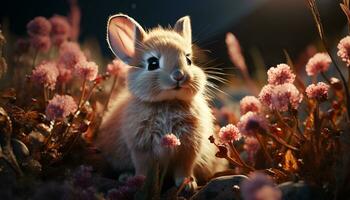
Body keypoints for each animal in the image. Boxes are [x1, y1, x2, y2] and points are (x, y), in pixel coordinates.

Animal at [95, 13, 227, 188]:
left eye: (188, 60)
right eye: (152, 63)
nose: (178, 75)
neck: (167, 102)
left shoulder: (189, 148)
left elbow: (184, 167)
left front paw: (188, 184)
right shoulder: (140, 148)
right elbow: (142, 166)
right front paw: (141, 182)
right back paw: (126, 177)